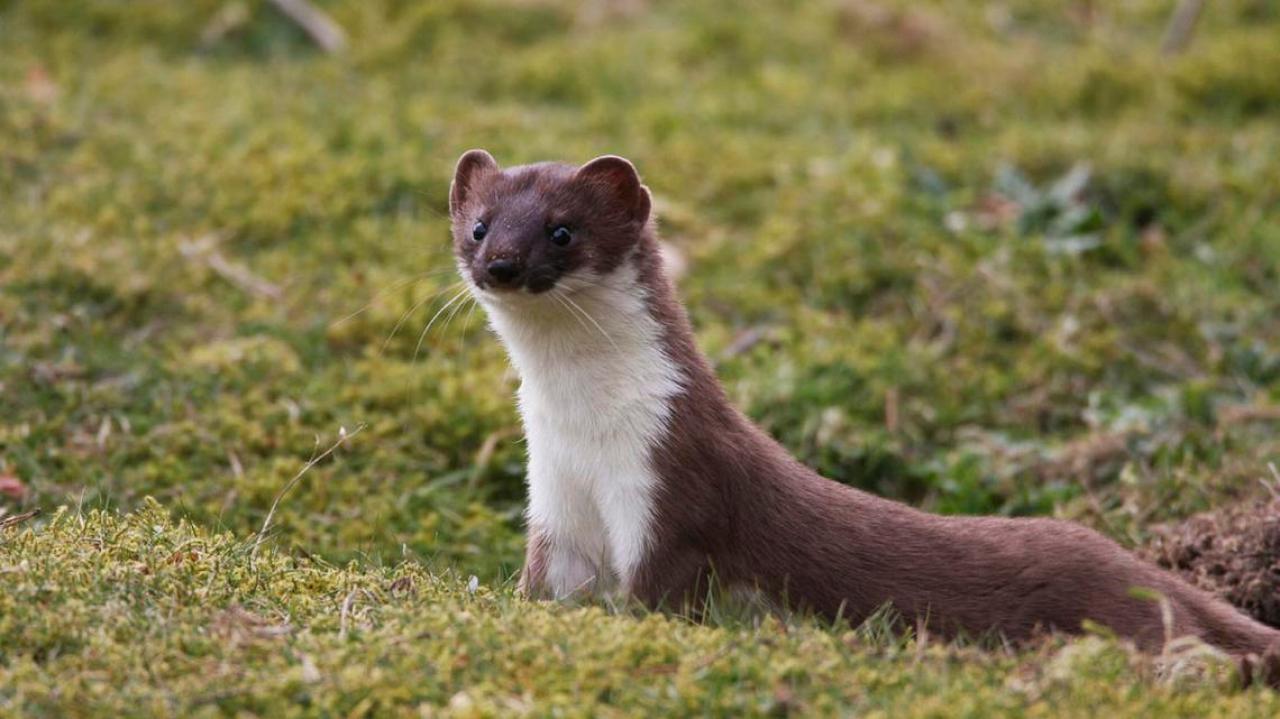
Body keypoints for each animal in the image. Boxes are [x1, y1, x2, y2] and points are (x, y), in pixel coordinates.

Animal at [448, 147, 1280, 680]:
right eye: (480, 224)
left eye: (562, 229)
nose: (501, 266)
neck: (586, 430)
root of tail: (1130, 560)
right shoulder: (555, 498)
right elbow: (546, 585)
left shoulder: (673, 483)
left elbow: (664, 589)